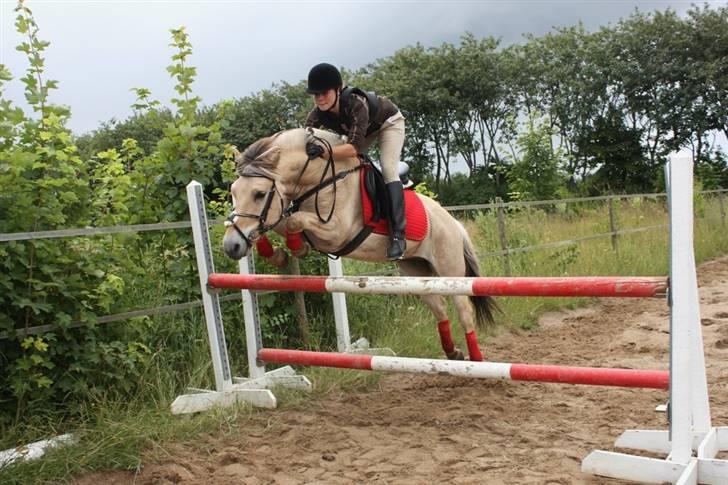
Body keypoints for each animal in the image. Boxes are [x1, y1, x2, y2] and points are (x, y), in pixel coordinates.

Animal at [222, 126, 494, 362]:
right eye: (233, 191)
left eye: (259, 194)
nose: (231, 247)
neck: (319, 178)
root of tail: (453, 222)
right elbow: (281, 223)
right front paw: (279, 254)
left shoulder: (336, 232)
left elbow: (293, 221)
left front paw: (296, 248)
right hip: (416, 270)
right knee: (438, 306)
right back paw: (453, 353)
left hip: (450, 269)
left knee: (464, 309)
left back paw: (476, 360)